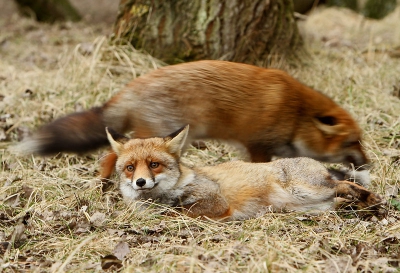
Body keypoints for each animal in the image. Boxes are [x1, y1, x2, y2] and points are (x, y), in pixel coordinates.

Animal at [17, 59, 370, 178]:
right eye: (353, 142)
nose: (369, 164)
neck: (295, 113)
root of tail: (131, 87)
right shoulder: (257, 145)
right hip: (160, 138)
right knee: (113, 154)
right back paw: (105, 185)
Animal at [105, 124, 382, 220]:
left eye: (154, 164)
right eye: (130, 168)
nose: (140, 182)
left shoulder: (215, 201)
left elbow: (179, 212)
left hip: (307, 190)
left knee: (343, 185)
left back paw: (370, 200)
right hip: (310, 206)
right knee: (339, 200)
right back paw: (359, 206)